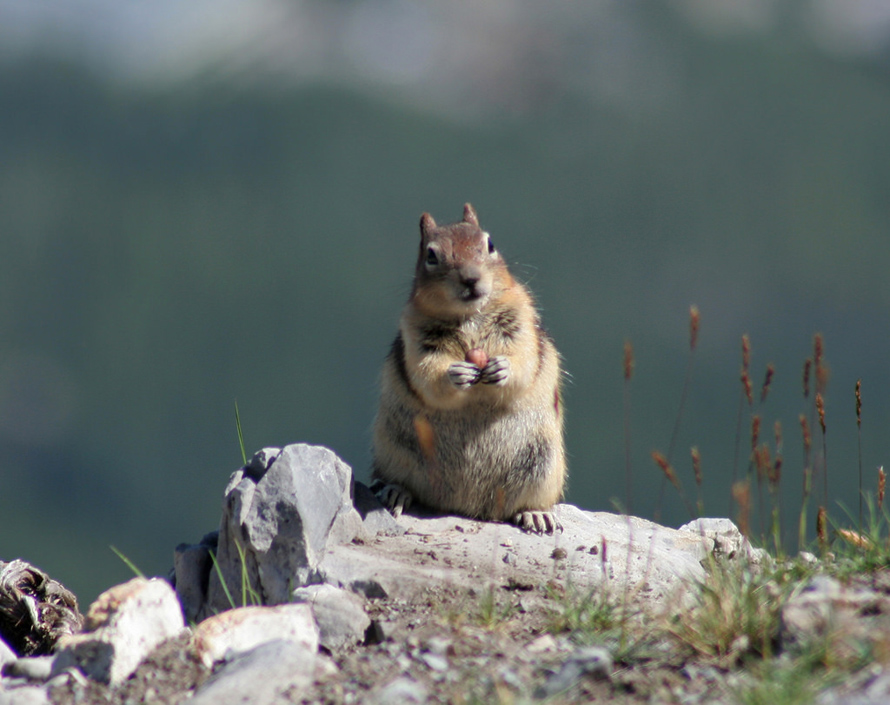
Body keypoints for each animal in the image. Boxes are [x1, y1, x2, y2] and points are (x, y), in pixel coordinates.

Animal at [372, 201, 564, 532]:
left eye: (490, 244)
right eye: (431, 256)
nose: (471, 278)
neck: (470, 315)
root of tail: (465, 506)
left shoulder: (521, 323)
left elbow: (523, 358)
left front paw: (502, 368)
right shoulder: (417, 335)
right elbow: (427, 372)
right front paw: (455, 374)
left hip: (543, 464)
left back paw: (535, 514)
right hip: (392, 450)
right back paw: (396, 491)